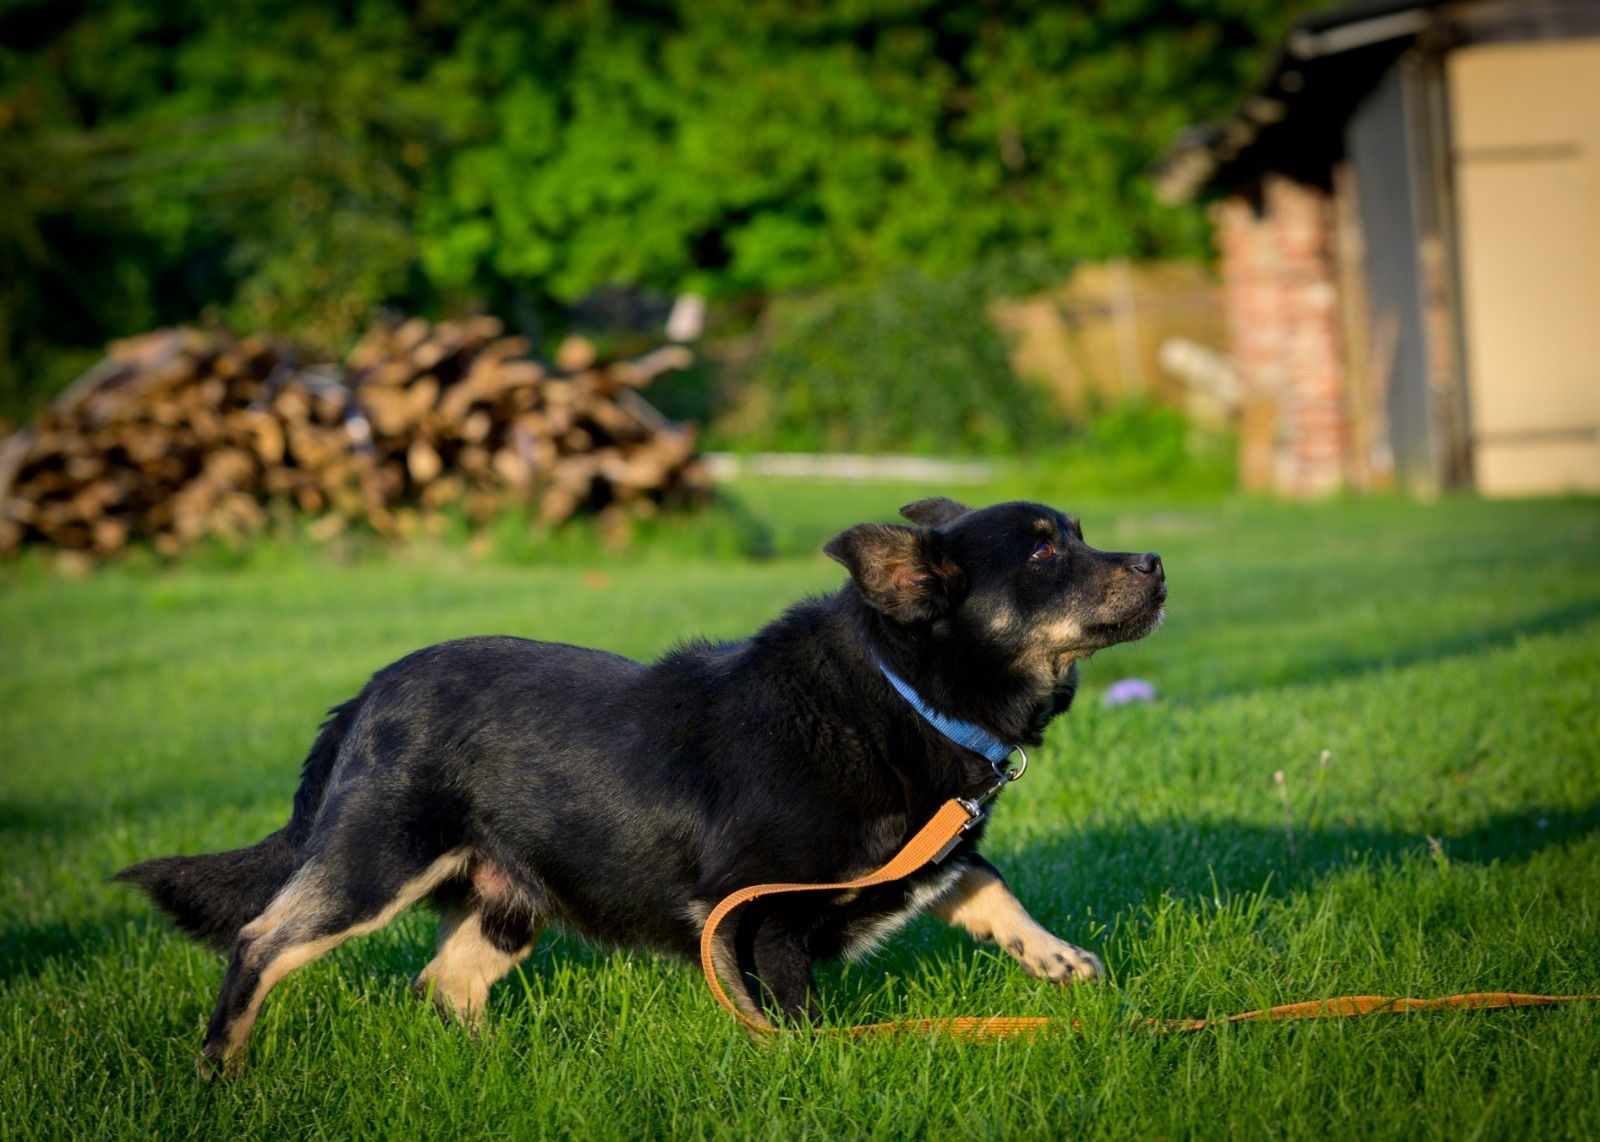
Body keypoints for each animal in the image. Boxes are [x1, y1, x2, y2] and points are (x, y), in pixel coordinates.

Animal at [116, 495, 1164, 1068]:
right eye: (1045, 550)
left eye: (1076, 533)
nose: (1155, 561)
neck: (901, 693)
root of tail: (364, 695)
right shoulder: (763, 919)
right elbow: (796, 1022)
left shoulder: (927, 858)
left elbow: (991, 890)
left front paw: (1063, 963)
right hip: (375, 862)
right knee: (261, 942)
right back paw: (221, 1067)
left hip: (511, 902)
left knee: (442, 984)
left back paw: (498, 1071)